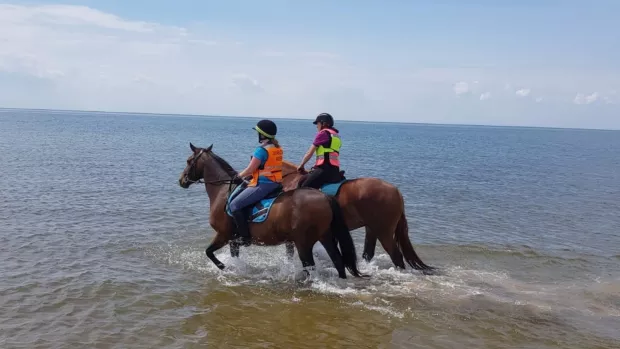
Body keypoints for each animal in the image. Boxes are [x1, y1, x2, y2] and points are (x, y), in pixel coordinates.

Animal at [177, 143, 366, 278]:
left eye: (188, 161)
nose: (181, 180)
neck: (223, 191)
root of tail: (324, 196)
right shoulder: (233, 241)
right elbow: (232, 256)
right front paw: (235, 268)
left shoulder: (223, 235)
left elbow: (209, 252)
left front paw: (224, 267)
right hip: (325, 237)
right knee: (338, 262)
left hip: (303, 243)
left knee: (310, 267)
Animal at [278, 159, 434, 274]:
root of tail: (396, 192)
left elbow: (290, 252)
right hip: (372, 229)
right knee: (368, 254)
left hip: (384, 231)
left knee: (396, 256)